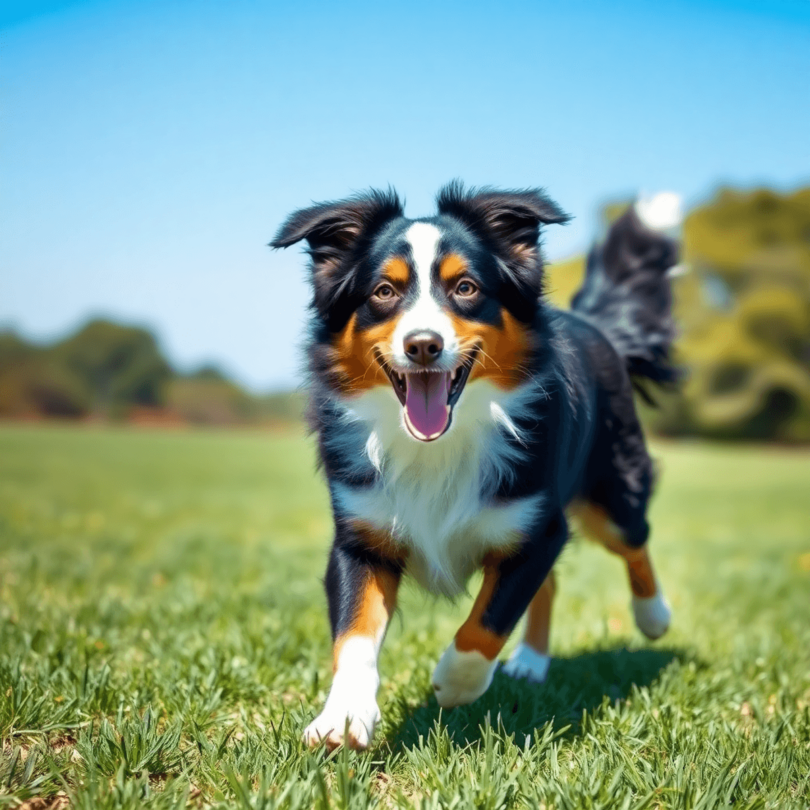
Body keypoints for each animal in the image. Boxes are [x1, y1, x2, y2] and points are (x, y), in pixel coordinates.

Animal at [270, 181, 676, 744]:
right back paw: (530, 661)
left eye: (465, 287)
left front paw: (454, 683)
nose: (423, 345)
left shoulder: (537, 525)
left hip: (612, 487)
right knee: (553, 582)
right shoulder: (361, 536)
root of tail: (595, 326)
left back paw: (653, 616)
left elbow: (488, 620)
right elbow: (354, 634)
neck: (437, 442)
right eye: (383, 292)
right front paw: (344, 715)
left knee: (634, 540)